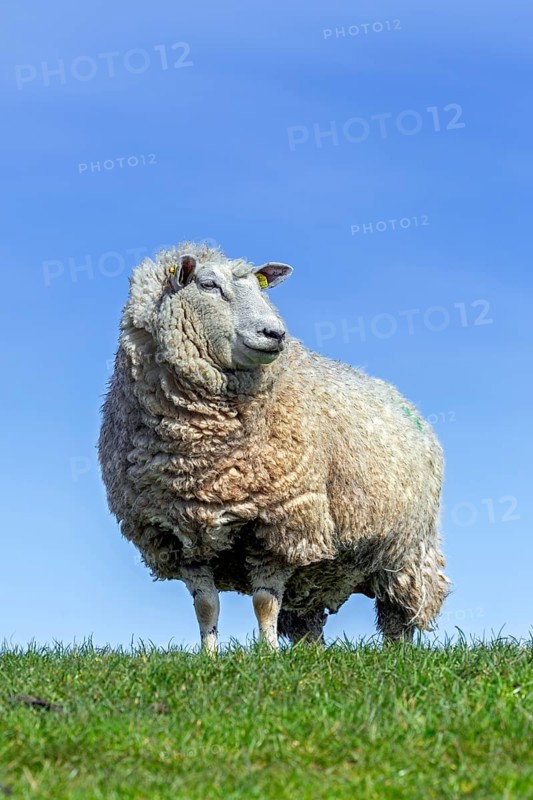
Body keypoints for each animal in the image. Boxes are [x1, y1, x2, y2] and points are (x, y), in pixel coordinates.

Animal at [98, 242, 449, 651]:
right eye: (208, 285)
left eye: (260, 288)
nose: (275, 333)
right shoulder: (179, 532)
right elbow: (206, 607)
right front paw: (208, 655)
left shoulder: (283, 520)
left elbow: (265, 602)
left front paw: (267, 654)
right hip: (320, 572)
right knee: (306, 616)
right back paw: (308, 652)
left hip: (408, 551)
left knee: (400, 613)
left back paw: (398, 653)